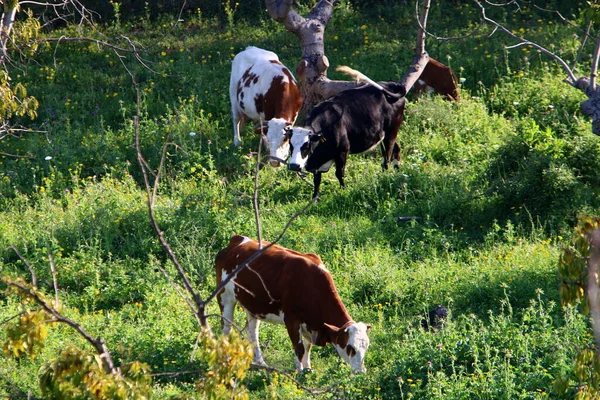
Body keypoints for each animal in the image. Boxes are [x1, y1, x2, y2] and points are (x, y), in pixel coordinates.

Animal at [213, 234, 368, 372]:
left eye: (366, 346)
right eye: (350, 348)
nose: (361, 372)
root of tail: (236, 240)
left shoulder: (310, 324)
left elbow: (307, 346)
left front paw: (308, 369)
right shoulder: (291, 320)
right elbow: (299, 349)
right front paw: (299, 373)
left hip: (253, 306)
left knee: (253, 332)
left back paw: (261, 363)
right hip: (225, 296)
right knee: (226, 328)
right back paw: (226, 359)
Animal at [288, 67, 408, 198]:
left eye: (306, 145)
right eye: (290, 145)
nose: (294, 166)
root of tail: (391, 84)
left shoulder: (342, 150)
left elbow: (339, 173)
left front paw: (343, 190)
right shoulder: (318, 162)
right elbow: (317, 180)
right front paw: (315, 198)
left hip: (391, 131)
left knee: (387, 158)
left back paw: (383, 176)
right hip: (385, 134)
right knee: (396, 149)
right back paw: (397, 171)